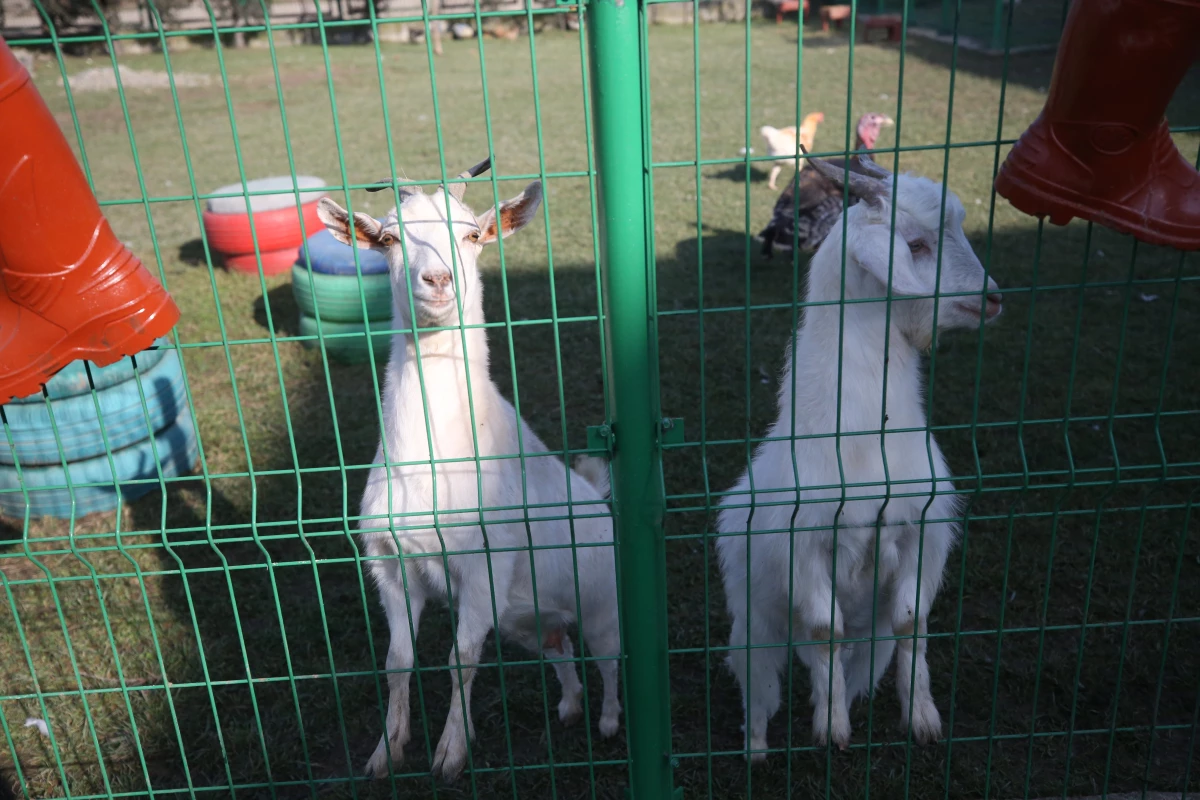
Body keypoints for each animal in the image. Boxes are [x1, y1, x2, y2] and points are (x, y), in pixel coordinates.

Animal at [314, 160, 624, 782]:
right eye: (388, 239)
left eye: (473, 234)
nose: (437, 281)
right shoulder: (390, 563)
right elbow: (398, 660)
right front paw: (387, 751)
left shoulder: (485, 561)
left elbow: (461, 659)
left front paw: (450, 756)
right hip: (526, 618)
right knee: (559, 648)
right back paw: (570, 707)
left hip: (603, 601)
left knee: (609, 658)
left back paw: (608, 720)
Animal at [710, 154, 1003, 758]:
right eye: (915, 245)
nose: (992, 298)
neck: (867, 439)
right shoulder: (805, 544)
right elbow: (827, 632)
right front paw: (832, 730)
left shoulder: (921, 534)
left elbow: (913, 625)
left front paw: (922, 719)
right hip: (753, 629)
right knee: (763, 684)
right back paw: (756, 748)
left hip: (870, 642)